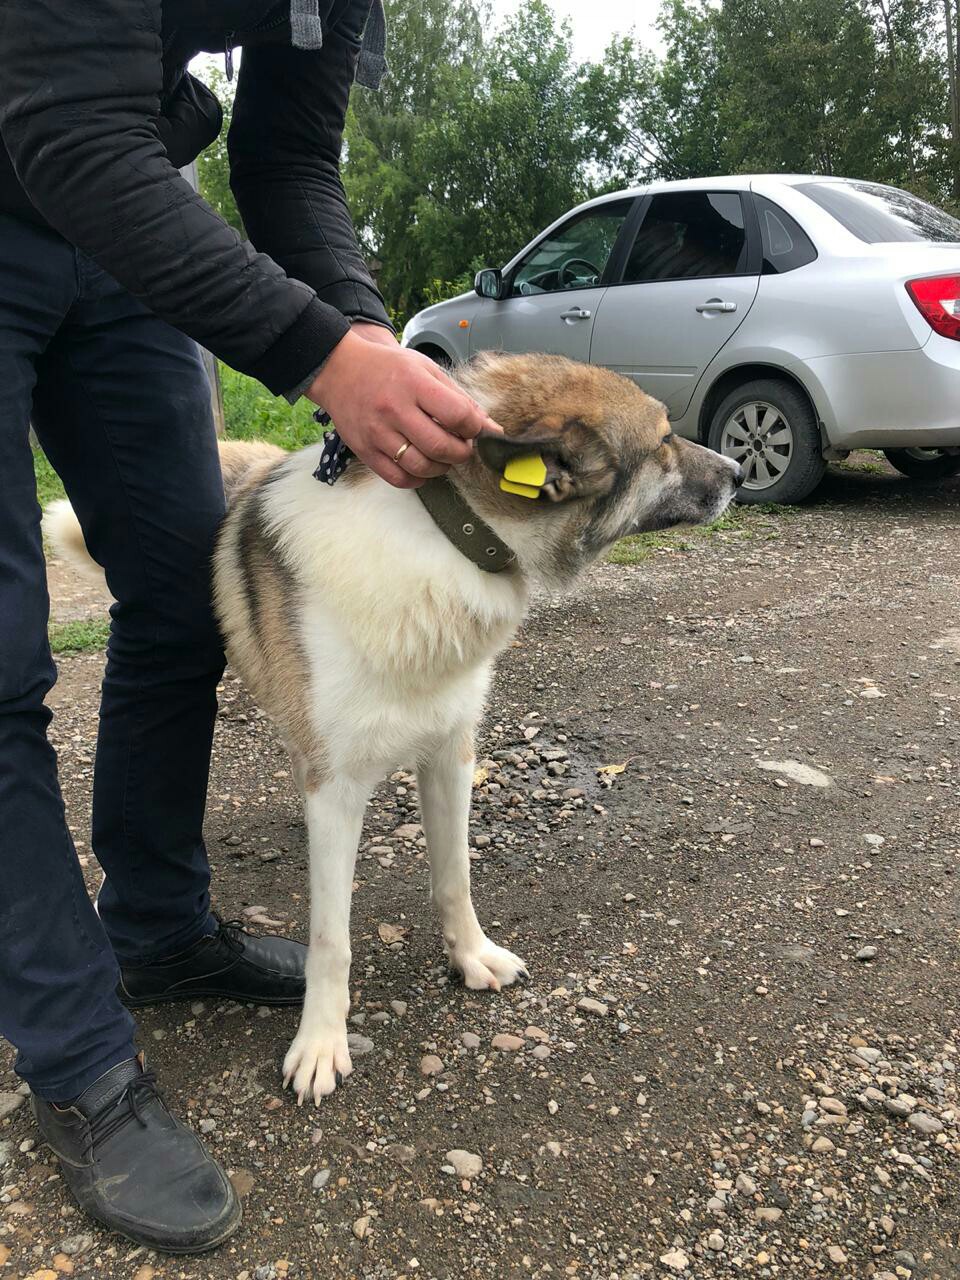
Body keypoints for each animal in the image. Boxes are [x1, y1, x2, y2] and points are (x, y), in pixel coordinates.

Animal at [43, 350, 742, 1100]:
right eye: (663, 440)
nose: (739, 472)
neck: (446, 536)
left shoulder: (450, 752)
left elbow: (455, 877)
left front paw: (471, 957)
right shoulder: (336, 786)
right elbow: (331, 938)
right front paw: (321, 1042)